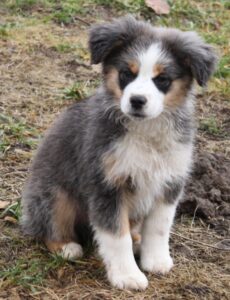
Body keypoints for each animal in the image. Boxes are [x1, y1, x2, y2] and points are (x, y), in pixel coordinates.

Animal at [20, 16, 217, 290]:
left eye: (162, 79)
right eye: (126, 74)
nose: (137, 100)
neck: (145, 131)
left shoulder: (170, 182)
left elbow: (159, 227)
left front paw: (156, 261)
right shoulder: (107, 185)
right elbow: (116, 236)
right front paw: (127, 276)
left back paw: (137, 241)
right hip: (55, 195)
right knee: (47, 225)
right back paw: (66, 246)